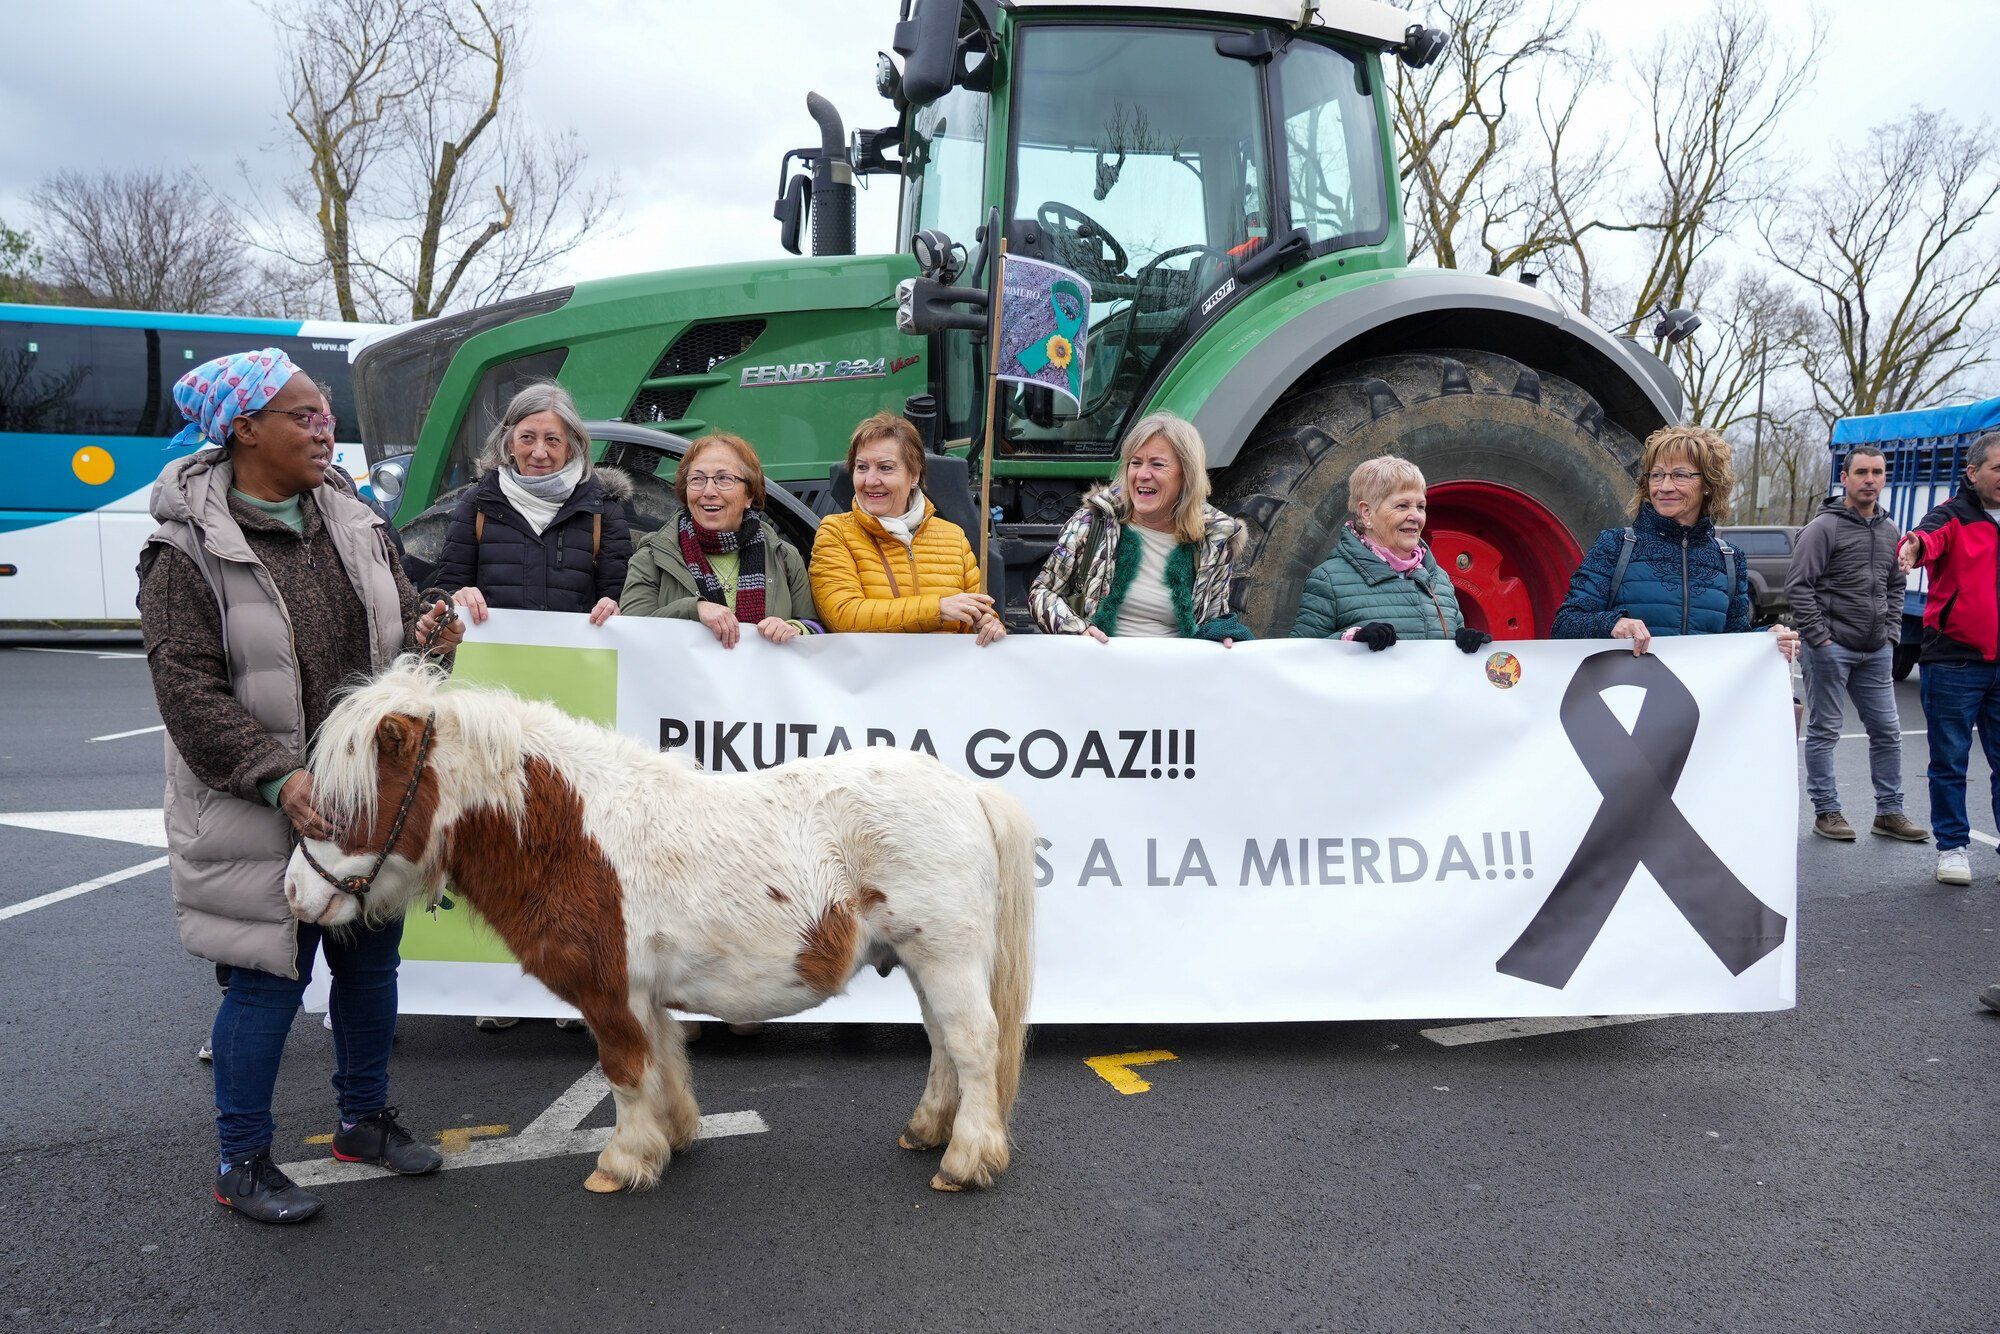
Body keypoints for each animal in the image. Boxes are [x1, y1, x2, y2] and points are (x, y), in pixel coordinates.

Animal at [286, 664, 1032, 1192]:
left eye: (344, 808)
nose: (293, 892)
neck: (570, 834)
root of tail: (967, 790)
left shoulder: (609, 991)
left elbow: (623, 1070)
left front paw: (623, 1161)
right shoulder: (642, 994)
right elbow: (663, 1060)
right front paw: (671, 1138)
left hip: (946, 957)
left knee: (972, 1043)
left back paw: (966, 1159)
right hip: (925, 961)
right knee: (942, 1043)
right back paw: (928, 1130)